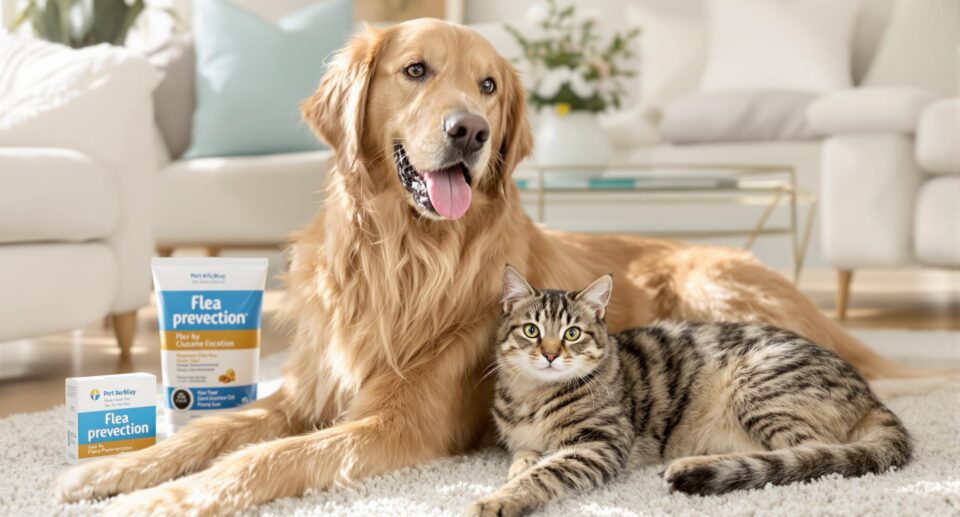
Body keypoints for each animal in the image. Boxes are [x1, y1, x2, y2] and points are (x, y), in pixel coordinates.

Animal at [468, 266, 912, 516]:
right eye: (531, 331)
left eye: (572, 334)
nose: (549, 354)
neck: (533, 396)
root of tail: (868, 393)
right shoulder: (522, 440)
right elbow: (524, 458)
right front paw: (517, 470)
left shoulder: (599, 444)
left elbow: (546, 472)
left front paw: (499, 499)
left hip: (757, 387)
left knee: (808, 455)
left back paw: (695, 466)